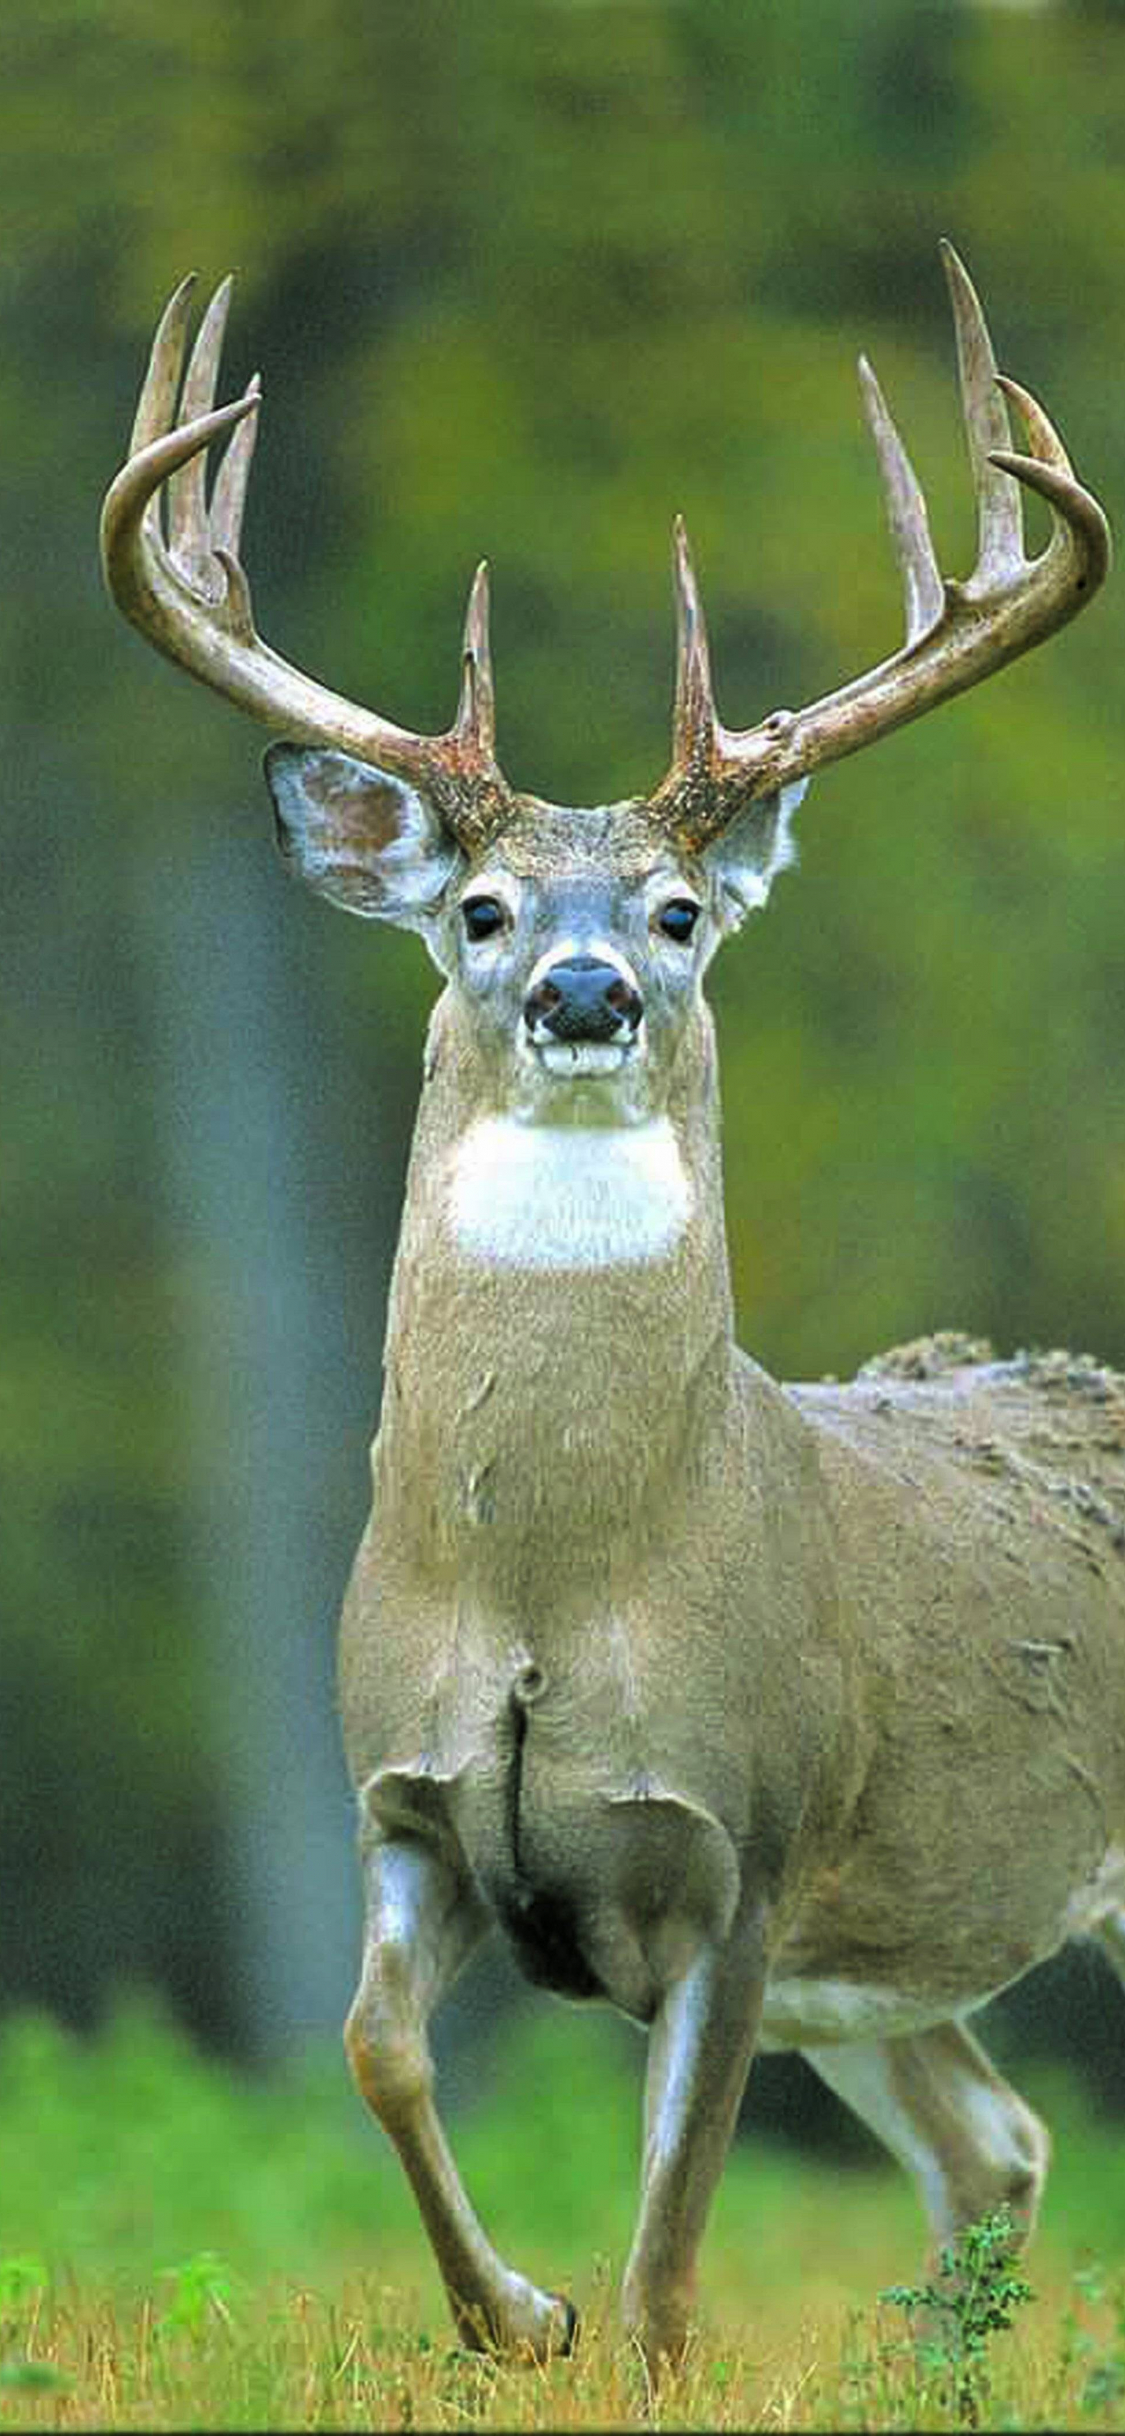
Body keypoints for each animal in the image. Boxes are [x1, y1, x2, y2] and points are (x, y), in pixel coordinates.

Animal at [102, 243, 1119, 2373]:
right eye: (478, 911)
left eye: (681, 911)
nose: (588, 991)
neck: (555, 1586)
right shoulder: (398, 1799)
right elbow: (375, 2047)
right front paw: (514, 2312)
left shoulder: (753, 1846)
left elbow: (673, 2260)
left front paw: (594, 2321)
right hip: (883, 1968)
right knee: (995, 2141)